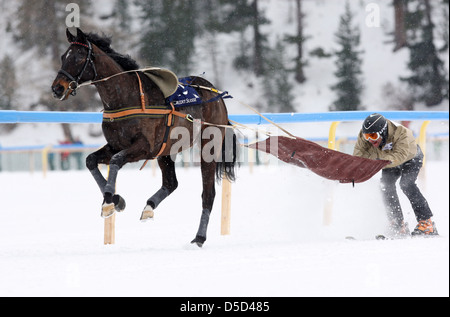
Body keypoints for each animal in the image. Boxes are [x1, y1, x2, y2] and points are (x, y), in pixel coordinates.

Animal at [51, 28, 237, 247]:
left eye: (79, 57)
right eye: (63, 56)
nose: (57, 88)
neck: (127, 97)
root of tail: (216, 94)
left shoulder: (144, 147)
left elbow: (116, 161)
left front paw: (109, 201)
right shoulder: (116, 144)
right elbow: (90, 160)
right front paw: (116, 200)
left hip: (208, 146)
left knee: (208, 193)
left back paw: (199, 237)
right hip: (167, 150)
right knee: (171, 183)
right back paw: (149, 207)